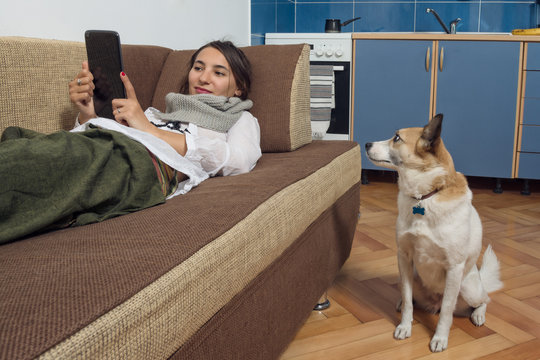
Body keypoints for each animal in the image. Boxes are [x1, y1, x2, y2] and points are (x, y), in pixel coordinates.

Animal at [364, 113, 504, 352]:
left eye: (397, 138)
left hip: (468, 288)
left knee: (483, 300)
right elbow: (408, 299)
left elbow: (447, 311)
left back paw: (478, 315)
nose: (366, 144)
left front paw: (439, 338)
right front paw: (405, 326)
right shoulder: (404, 257)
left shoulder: (454, 268)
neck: (425, 197)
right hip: (415, 277)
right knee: (411, 298)